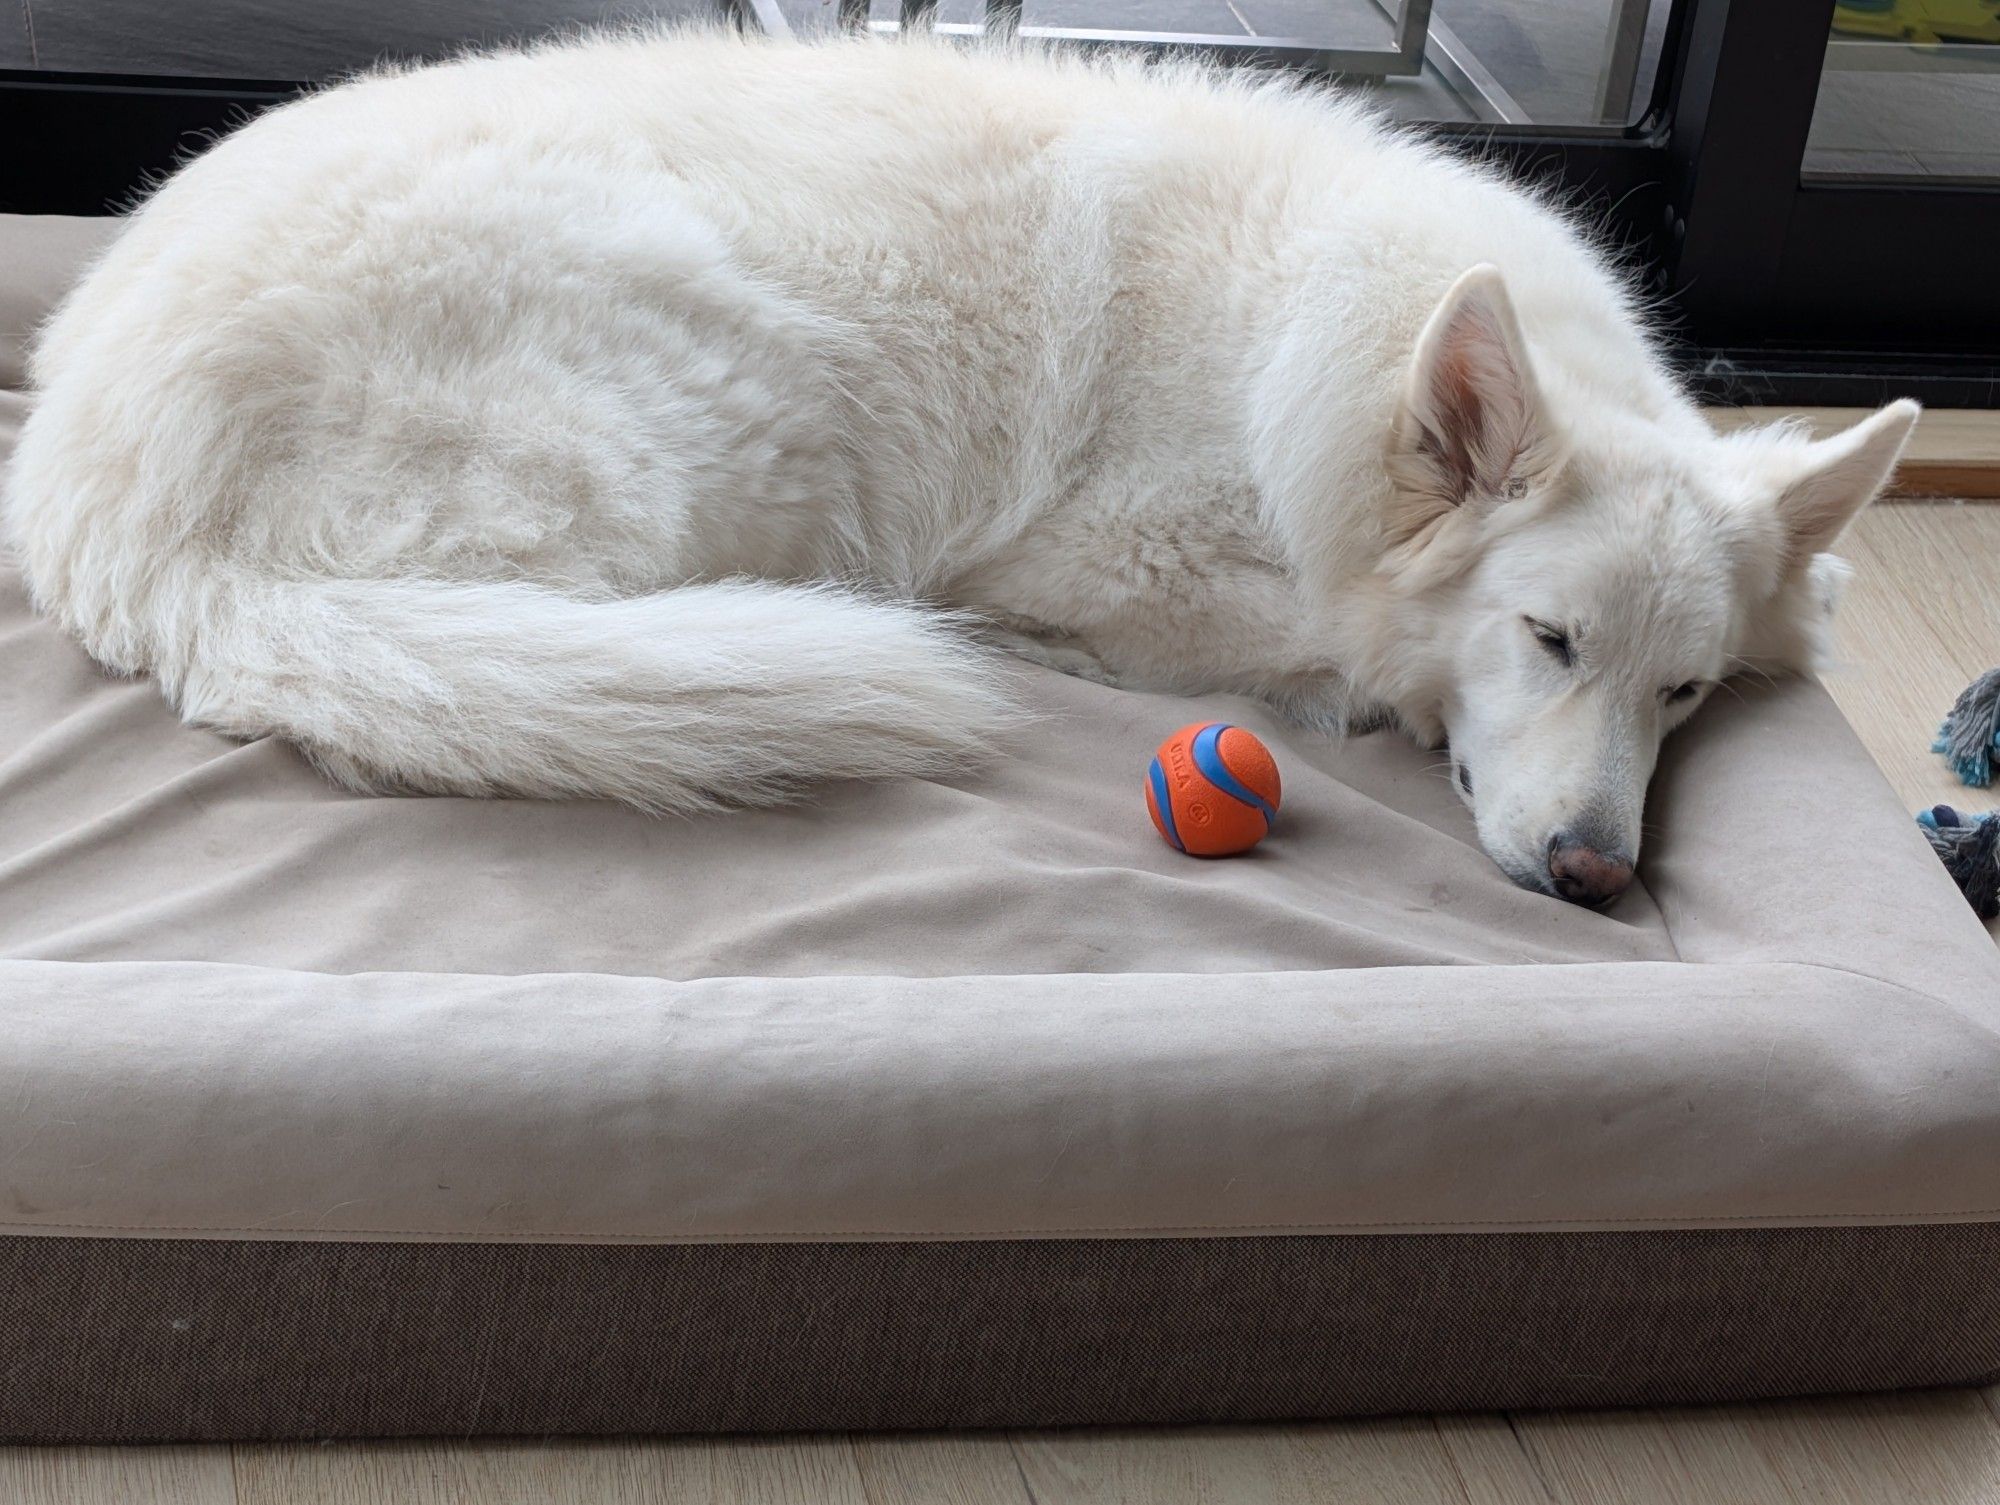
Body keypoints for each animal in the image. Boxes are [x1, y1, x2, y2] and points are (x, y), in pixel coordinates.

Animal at [7, 32, 1912, 904]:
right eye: (1548, 642)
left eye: (1686, 693)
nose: (1599, 873)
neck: (1325, 353)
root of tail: (122, 516)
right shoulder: (1140, 564)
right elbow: (1348, 651)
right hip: (725, 386)